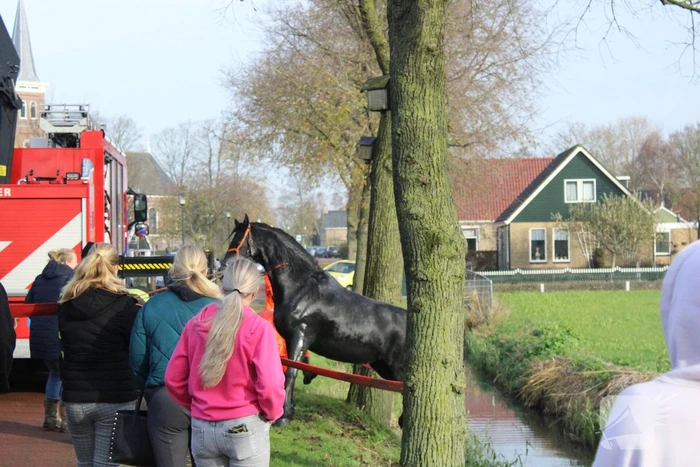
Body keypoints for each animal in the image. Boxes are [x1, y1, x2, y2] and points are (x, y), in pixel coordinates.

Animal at [223, 215, 407, 426]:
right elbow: (294, 368)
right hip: (382, 366)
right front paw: (293, 404)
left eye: (239, 238)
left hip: (397, 368)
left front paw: (283, 416)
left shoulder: (302, 334)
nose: (224, 264)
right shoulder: (291, 338)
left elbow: (291, 372)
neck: (302, 288)